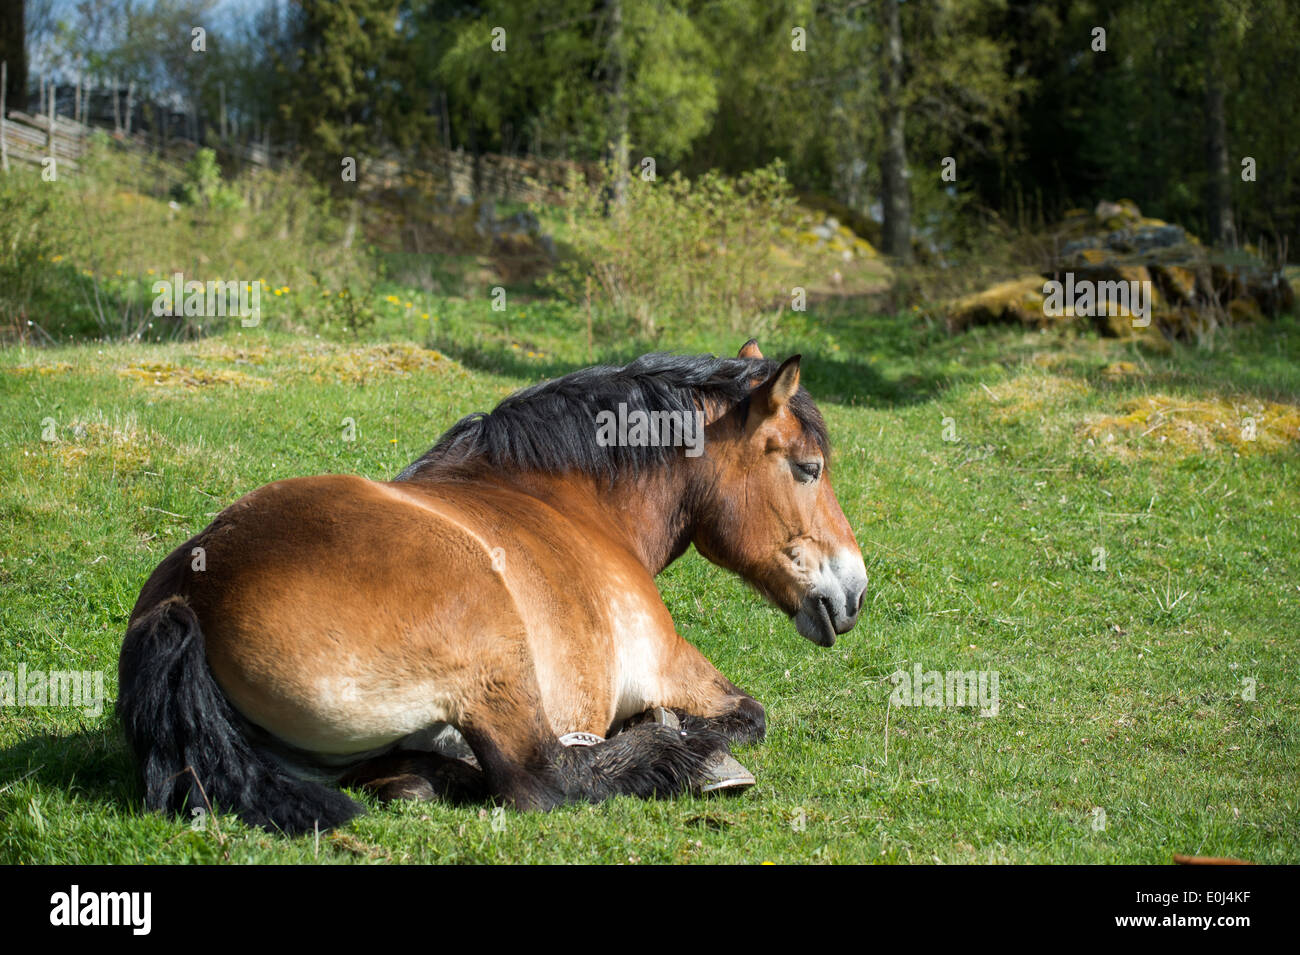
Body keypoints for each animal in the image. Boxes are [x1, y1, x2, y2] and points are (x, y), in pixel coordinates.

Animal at [117, 339, 868, 834]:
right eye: (807, 467)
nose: (854, 591)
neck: (571, 501)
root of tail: (189, 592)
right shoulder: (671, 664)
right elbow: (749, 715)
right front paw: (681, 734)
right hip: (495, 654)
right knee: (538, 779)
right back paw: (684, 760)